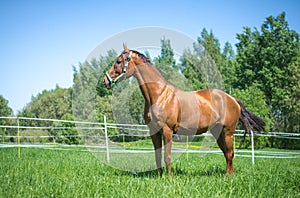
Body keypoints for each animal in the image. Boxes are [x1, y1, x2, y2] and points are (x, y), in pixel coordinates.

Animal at [103, 44, 264, 177]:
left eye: (119, 61)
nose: (105, 81)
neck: (159, 95)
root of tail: (233, 99)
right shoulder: (154, 131)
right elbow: (158, 155)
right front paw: (160, 177)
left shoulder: (167, 130)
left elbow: (167, 156)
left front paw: (169, 179)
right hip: (217, 133)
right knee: (227, 153)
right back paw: (229, 175)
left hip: (228, 132)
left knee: (230, 153)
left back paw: (228, 177)